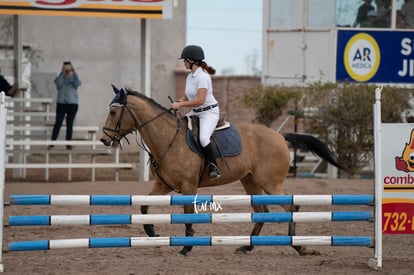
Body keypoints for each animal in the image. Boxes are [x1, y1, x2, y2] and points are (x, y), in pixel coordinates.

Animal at [101, 85, 350, 258]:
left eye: (113, 112)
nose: (104, 139)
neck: (167, 138)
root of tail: (280, 136)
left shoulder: (188, 187)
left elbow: (187, 216)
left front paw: (186, 248)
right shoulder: (163, 185)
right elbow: (143, 205)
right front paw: (152, 232)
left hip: (271, 183)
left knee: (292, 208)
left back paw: (298, 247)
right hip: (250, 182)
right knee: (262, 211)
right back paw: (247, 246)